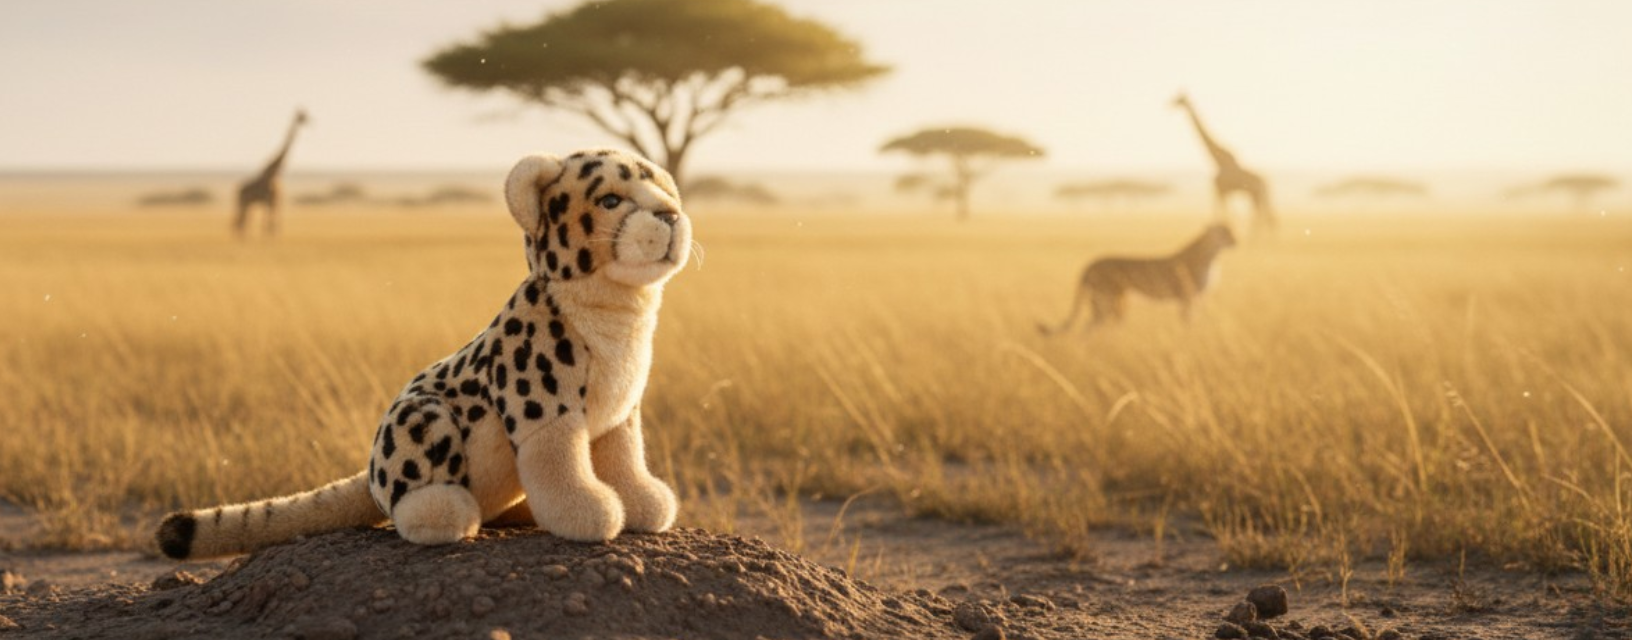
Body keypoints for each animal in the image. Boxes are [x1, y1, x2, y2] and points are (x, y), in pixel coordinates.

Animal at [157, 148, 692, 559]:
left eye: (670, 194)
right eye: (610, 200)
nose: (670, 216)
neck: (616, 310)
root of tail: (370, 472)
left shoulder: (619, 415)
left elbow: (624, 459)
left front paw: (642, 503)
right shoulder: (546, 412)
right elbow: (558, 463)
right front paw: (587, 513)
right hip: (423, 413)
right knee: (404, 502)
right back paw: (444, 513)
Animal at [1038, 223, 1236, 334]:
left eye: (1231, 231)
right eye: (1224, 232)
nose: (1235, 240)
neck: (1212, 254)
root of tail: (1091, 262)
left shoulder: (1194, 298)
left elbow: (1193, 319)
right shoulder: (1187, 297)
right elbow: (1188, 320)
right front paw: (1189, 335)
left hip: (1115, 302)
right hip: (1106, 302)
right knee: (1090, 327)